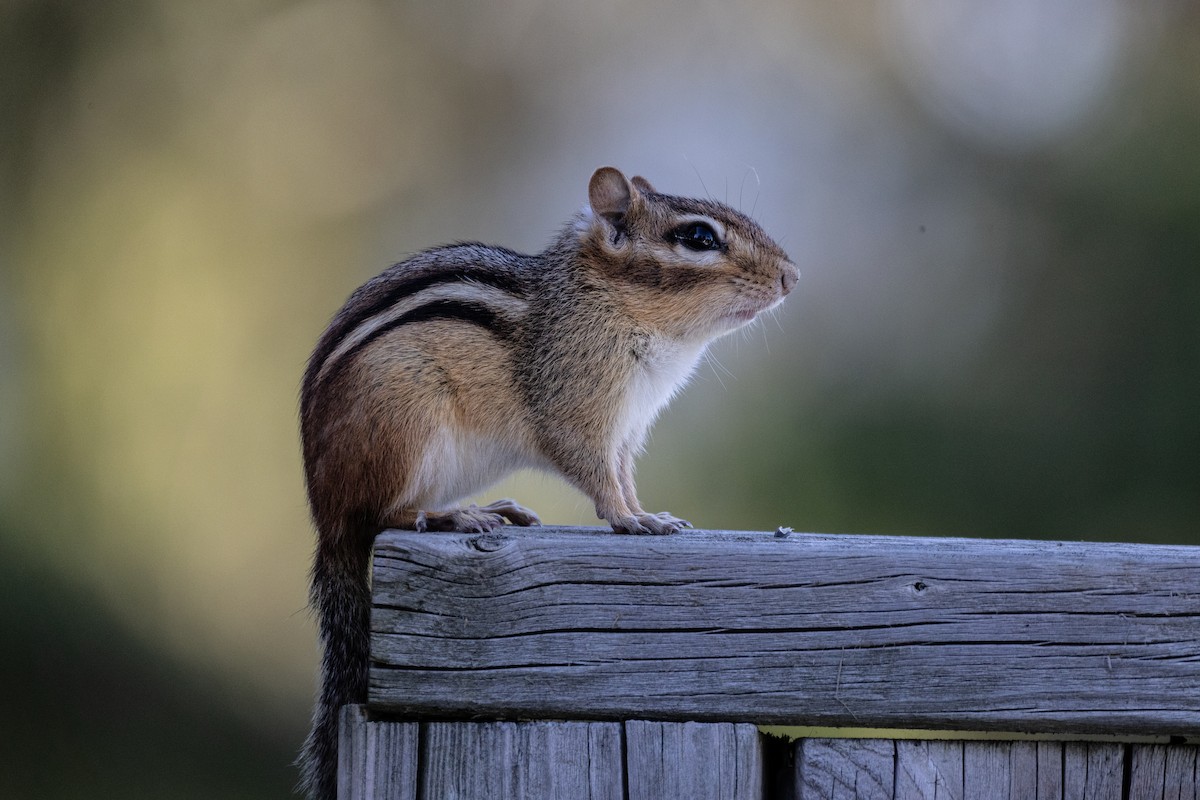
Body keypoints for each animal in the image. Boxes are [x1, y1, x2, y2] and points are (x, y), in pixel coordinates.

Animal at [296, 166, 798, 799]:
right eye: (700, 238)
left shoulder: (627, 430)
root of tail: (324, 515)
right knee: (383, 514)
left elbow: (623, 475)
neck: (611, 304)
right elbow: (598, 477)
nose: (791, 276)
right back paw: (452, 515)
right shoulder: (577, 413)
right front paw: (631, 520)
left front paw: (651, 514)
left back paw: (497, 508)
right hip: (403, 427)